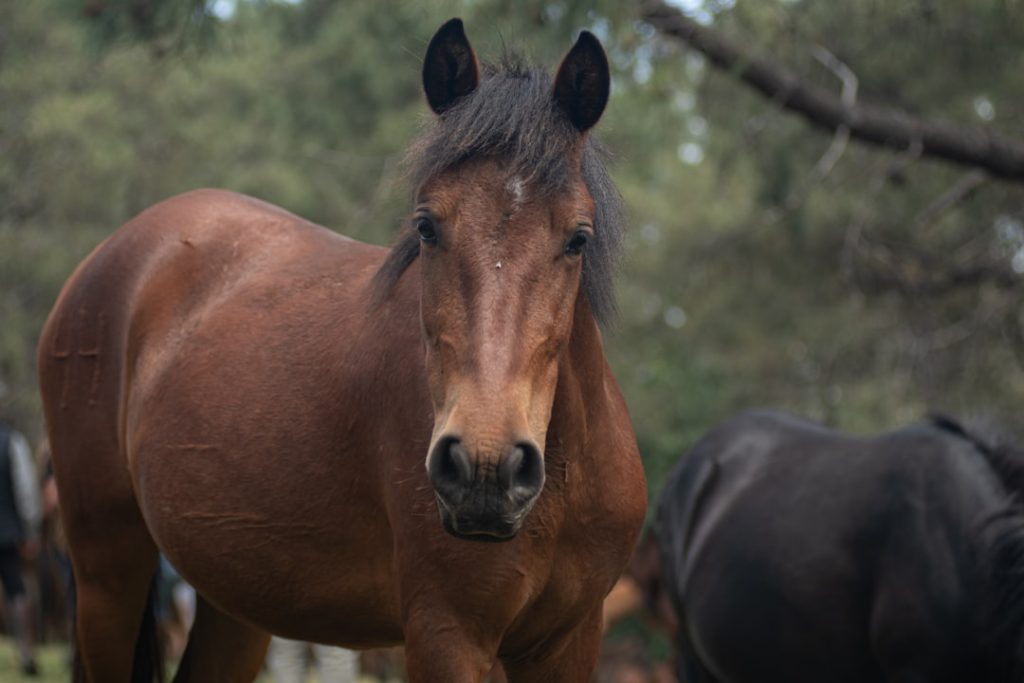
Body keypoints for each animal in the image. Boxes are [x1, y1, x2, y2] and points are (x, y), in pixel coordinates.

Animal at [37, 18, 647, 682]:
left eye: (578, 238)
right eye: (426, 226)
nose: (485, 470)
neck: (563, 482)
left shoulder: (568, 641)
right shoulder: (447, 634)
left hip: (237, 602)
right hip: (107, 573)